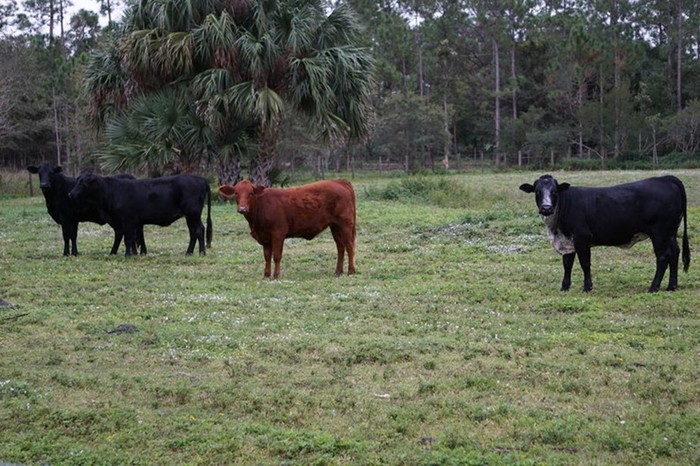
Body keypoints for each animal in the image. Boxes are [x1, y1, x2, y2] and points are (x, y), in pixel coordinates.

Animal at [68, 171, 212, 255]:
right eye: (77, 181)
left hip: (193, 214)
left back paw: (201, 252)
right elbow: (129, 239)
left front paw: (127, 255)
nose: (70, 194)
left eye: (83, 183)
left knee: (199, 230)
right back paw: (189, 252)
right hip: (190, 216)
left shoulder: (127, 220)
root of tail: (200, 179)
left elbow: (128, 239)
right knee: (193, 232)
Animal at [219, 179, 356, 278]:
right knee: (340, 248)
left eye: (251, 193)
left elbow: (277, 256)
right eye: (236, 193)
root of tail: (339, 181)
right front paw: (266, 275)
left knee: (349, 246)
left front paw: (276, 275)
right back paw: (338, 272)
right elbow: (267, 256)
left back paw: (351, 271)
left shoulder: (278, 233)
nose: (242, 209)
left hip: (345, 224)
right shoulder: (265, 238)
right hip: (335, 226)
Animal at [520, 175, 688, 292]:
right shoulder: (567, 241)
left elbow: (585, 263)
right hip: (671, 232)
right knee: (675, 253)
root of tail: (665, 178)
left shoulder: (582, 238)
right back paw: (671, 286)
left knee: (663, 256)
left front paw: (587, 287)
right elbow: (567, 264)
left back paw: (653, 287)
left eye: (554, 191)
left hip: (660, 233)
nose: (546, 208)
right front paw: (564, 287)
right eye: (537, 191)